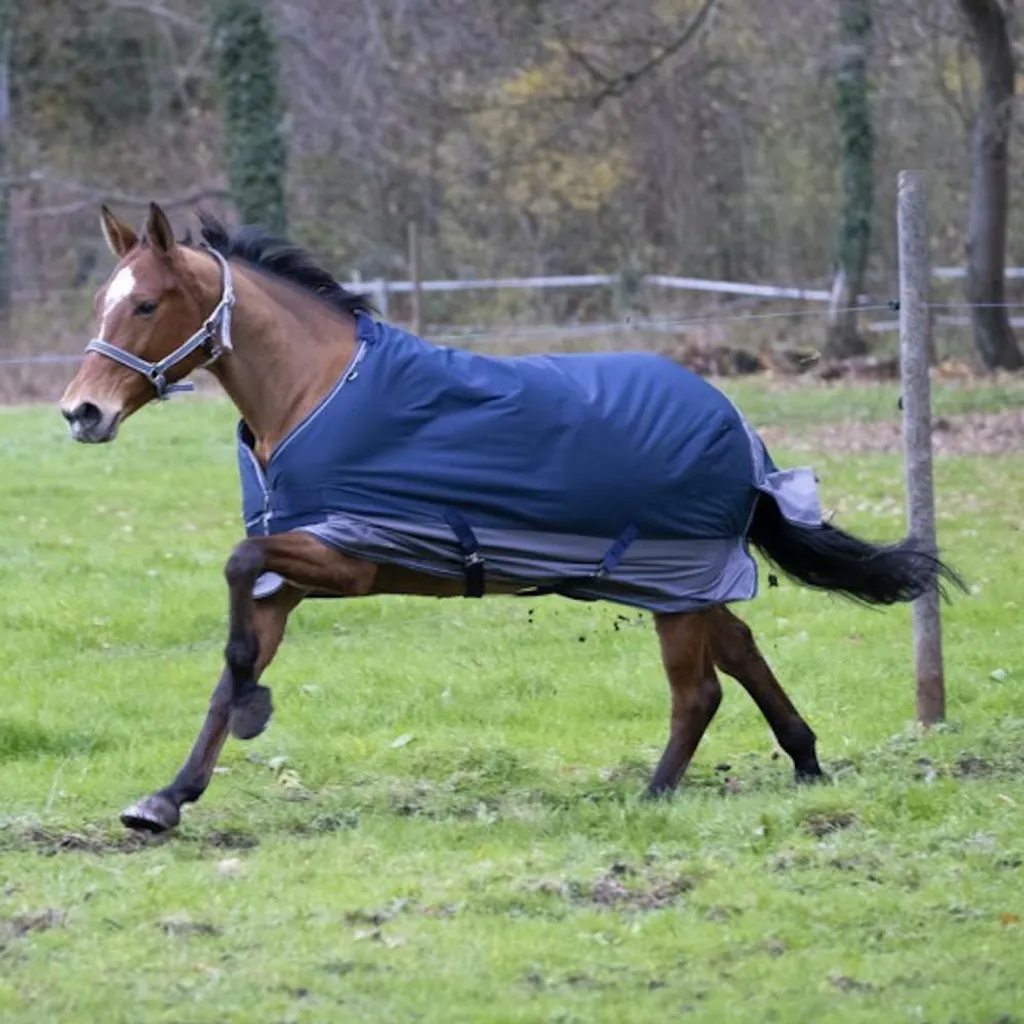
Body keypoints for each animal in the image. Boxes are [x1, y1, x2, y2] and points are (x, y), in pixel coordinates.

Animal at [58, 203, 964, 834]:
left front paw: (252, 712)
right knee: (739, 652)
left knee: (701, 690)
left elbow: (236, 581)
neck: (318, 392)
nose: (81, 413)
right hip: (686, 582)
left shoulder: (343, 556)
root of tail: (744, 433)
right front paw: (168, 796)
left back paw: (656, 793)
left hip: (676, 581)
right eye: (103, 302)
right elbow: (231, 659)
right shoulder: (295, 575)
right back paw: (806, 763)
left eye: (146, 305)